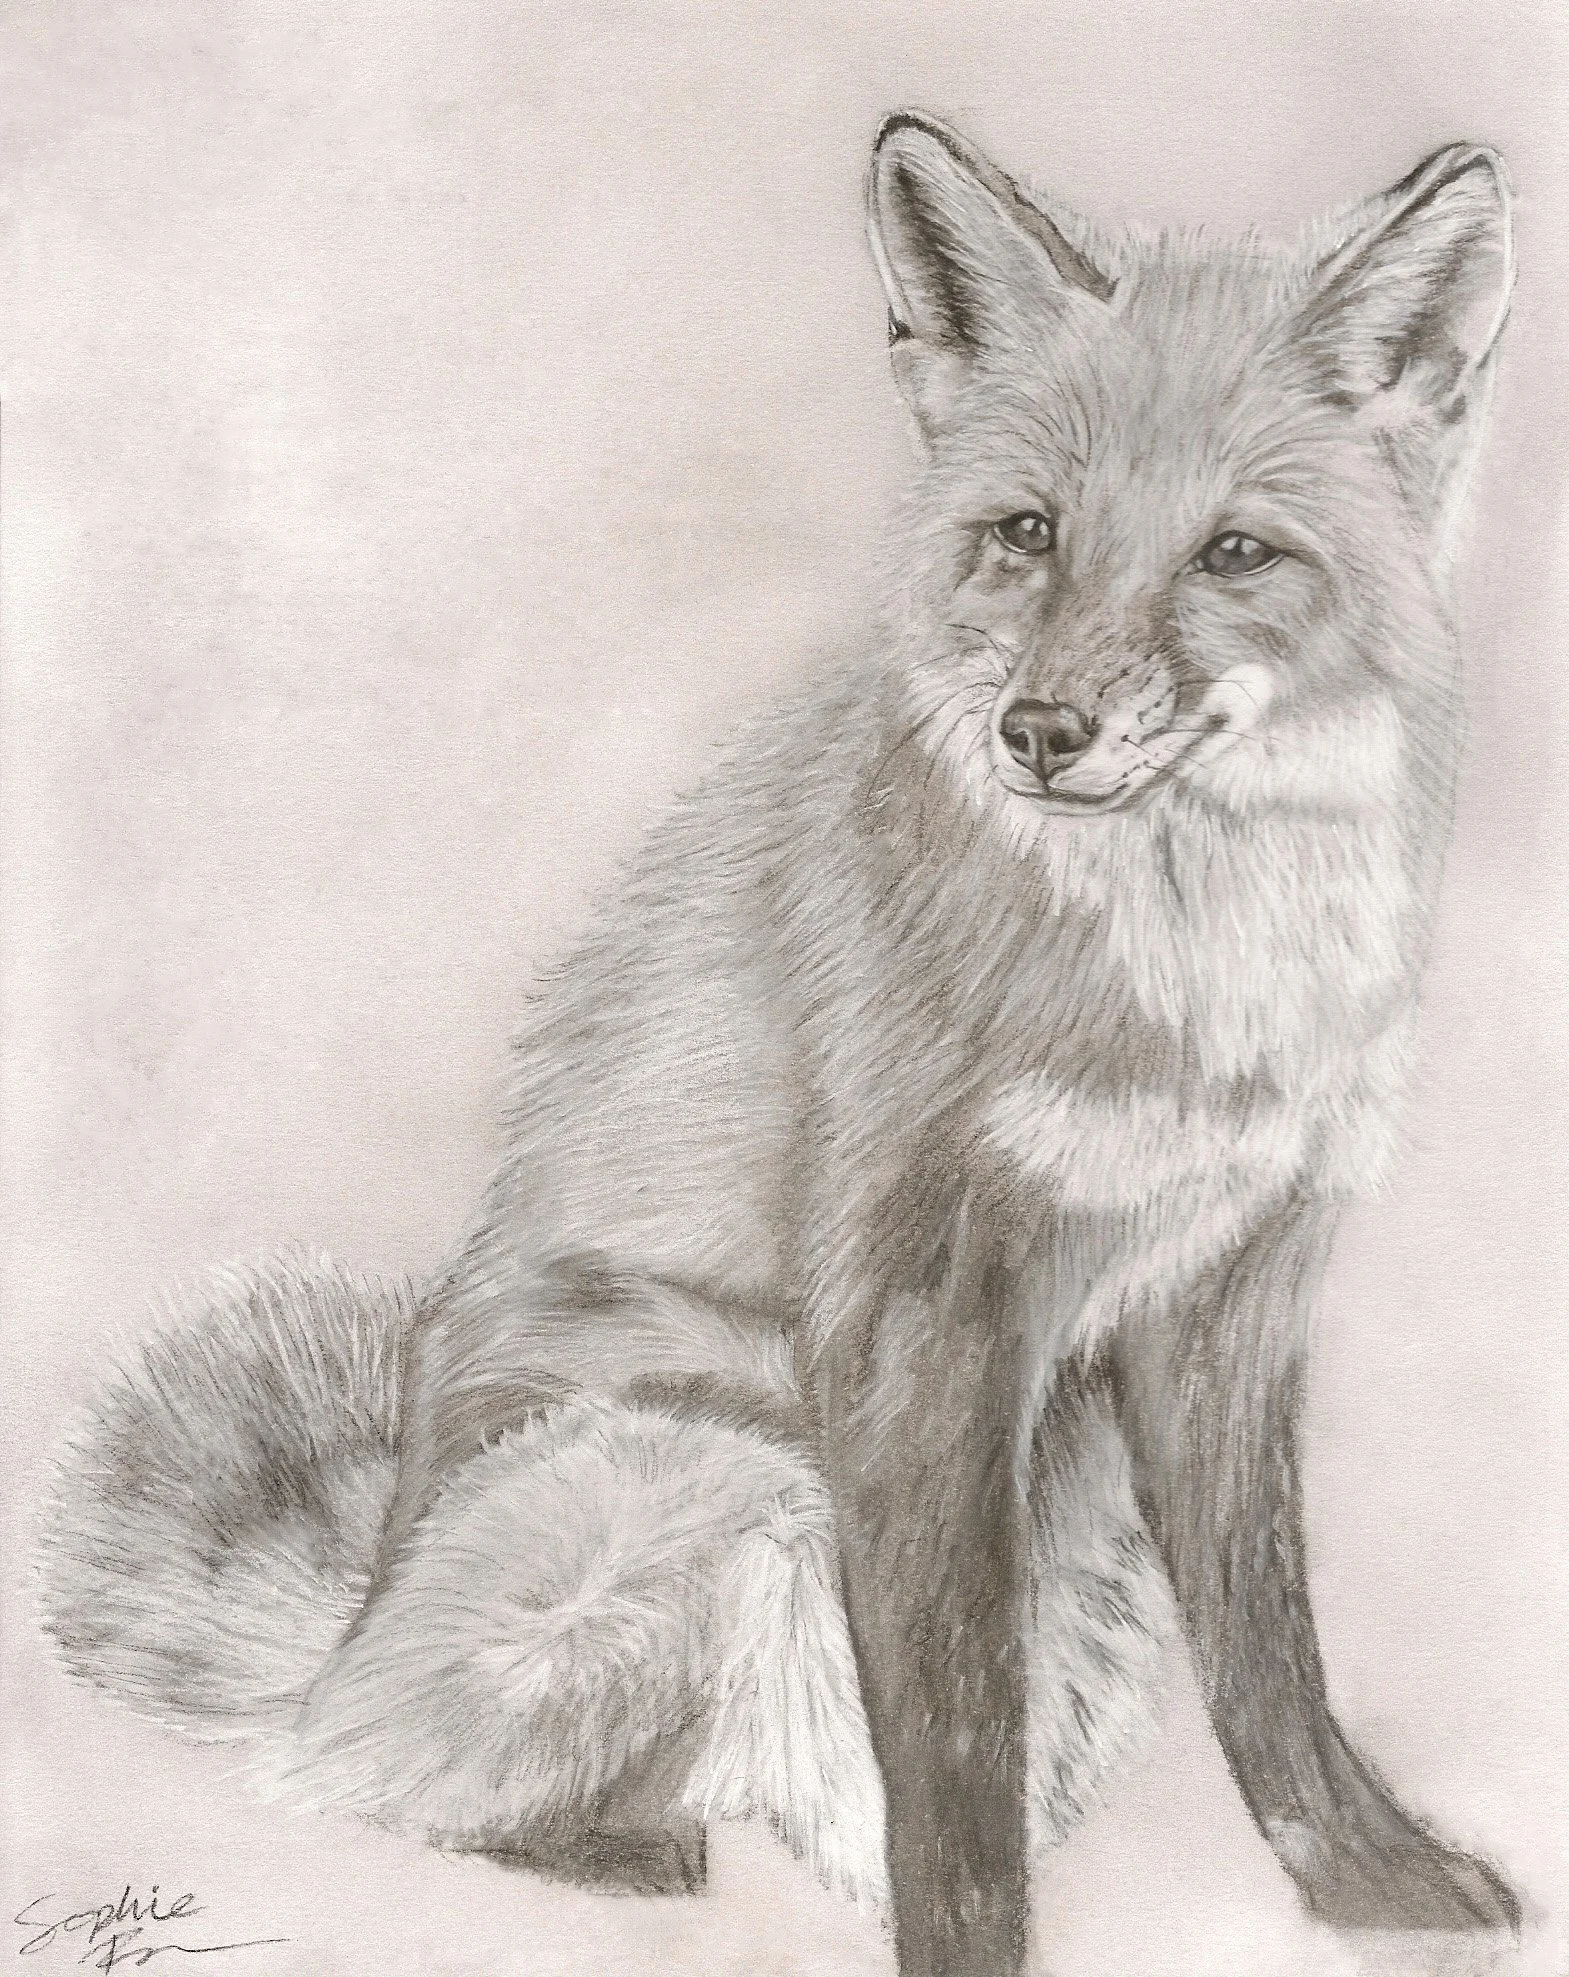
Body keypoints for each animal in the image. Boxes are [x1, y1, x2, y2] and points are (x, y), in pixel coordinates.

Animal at [39, 113, 1520, 1975]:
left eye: (1233, 554)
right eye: (1025, 532)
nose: (1041, 730)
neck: (1197, 980)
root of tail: (348, 1620)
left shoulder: (1229, 1289)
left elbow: (1269, 1661)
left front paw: (1367, 1886)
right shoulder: (915, 1310)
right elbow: (950, 1749)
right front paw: (970, 1952)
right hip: (713, 1464)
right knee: (358, 1780)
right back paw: (598, 1845)